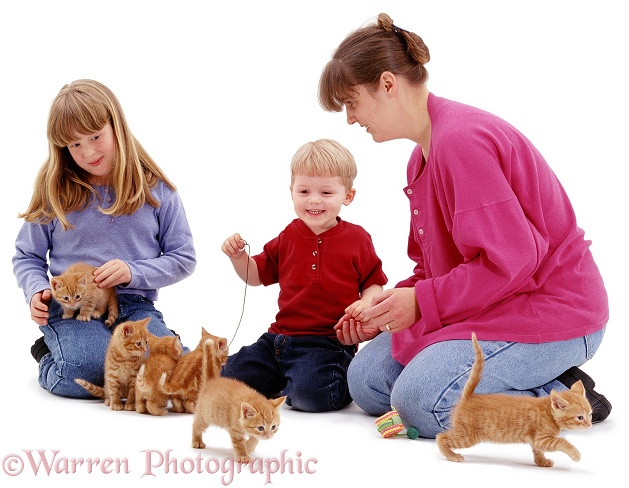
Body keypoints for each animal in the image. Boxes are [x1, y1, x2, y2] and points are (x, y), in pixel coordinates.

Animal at [188, 336, 284, 466]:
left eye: (273, 427)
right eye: (260, 428)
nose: (269, 436)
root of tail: (212, 381)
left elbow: (254, 439)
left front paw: (249, 447)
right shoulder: (235, 430)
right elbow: (239, 444)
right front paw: (243, 456)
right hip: (206, 415)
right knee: (196, 425)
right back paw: (196, 440)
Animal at [434, 334, 592, 468]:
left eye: (590, 415)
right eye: (580, 417)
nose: (590, 425)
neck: (549, 412)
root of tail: (469, 397)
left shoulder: (536, 440)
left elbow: (537, 450)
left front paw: (542, 462)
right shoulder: (543, 438)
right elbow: (562, 441)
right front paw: (575, 454)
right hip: (468, 436)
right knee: (440, 436)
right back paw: (452, 456)